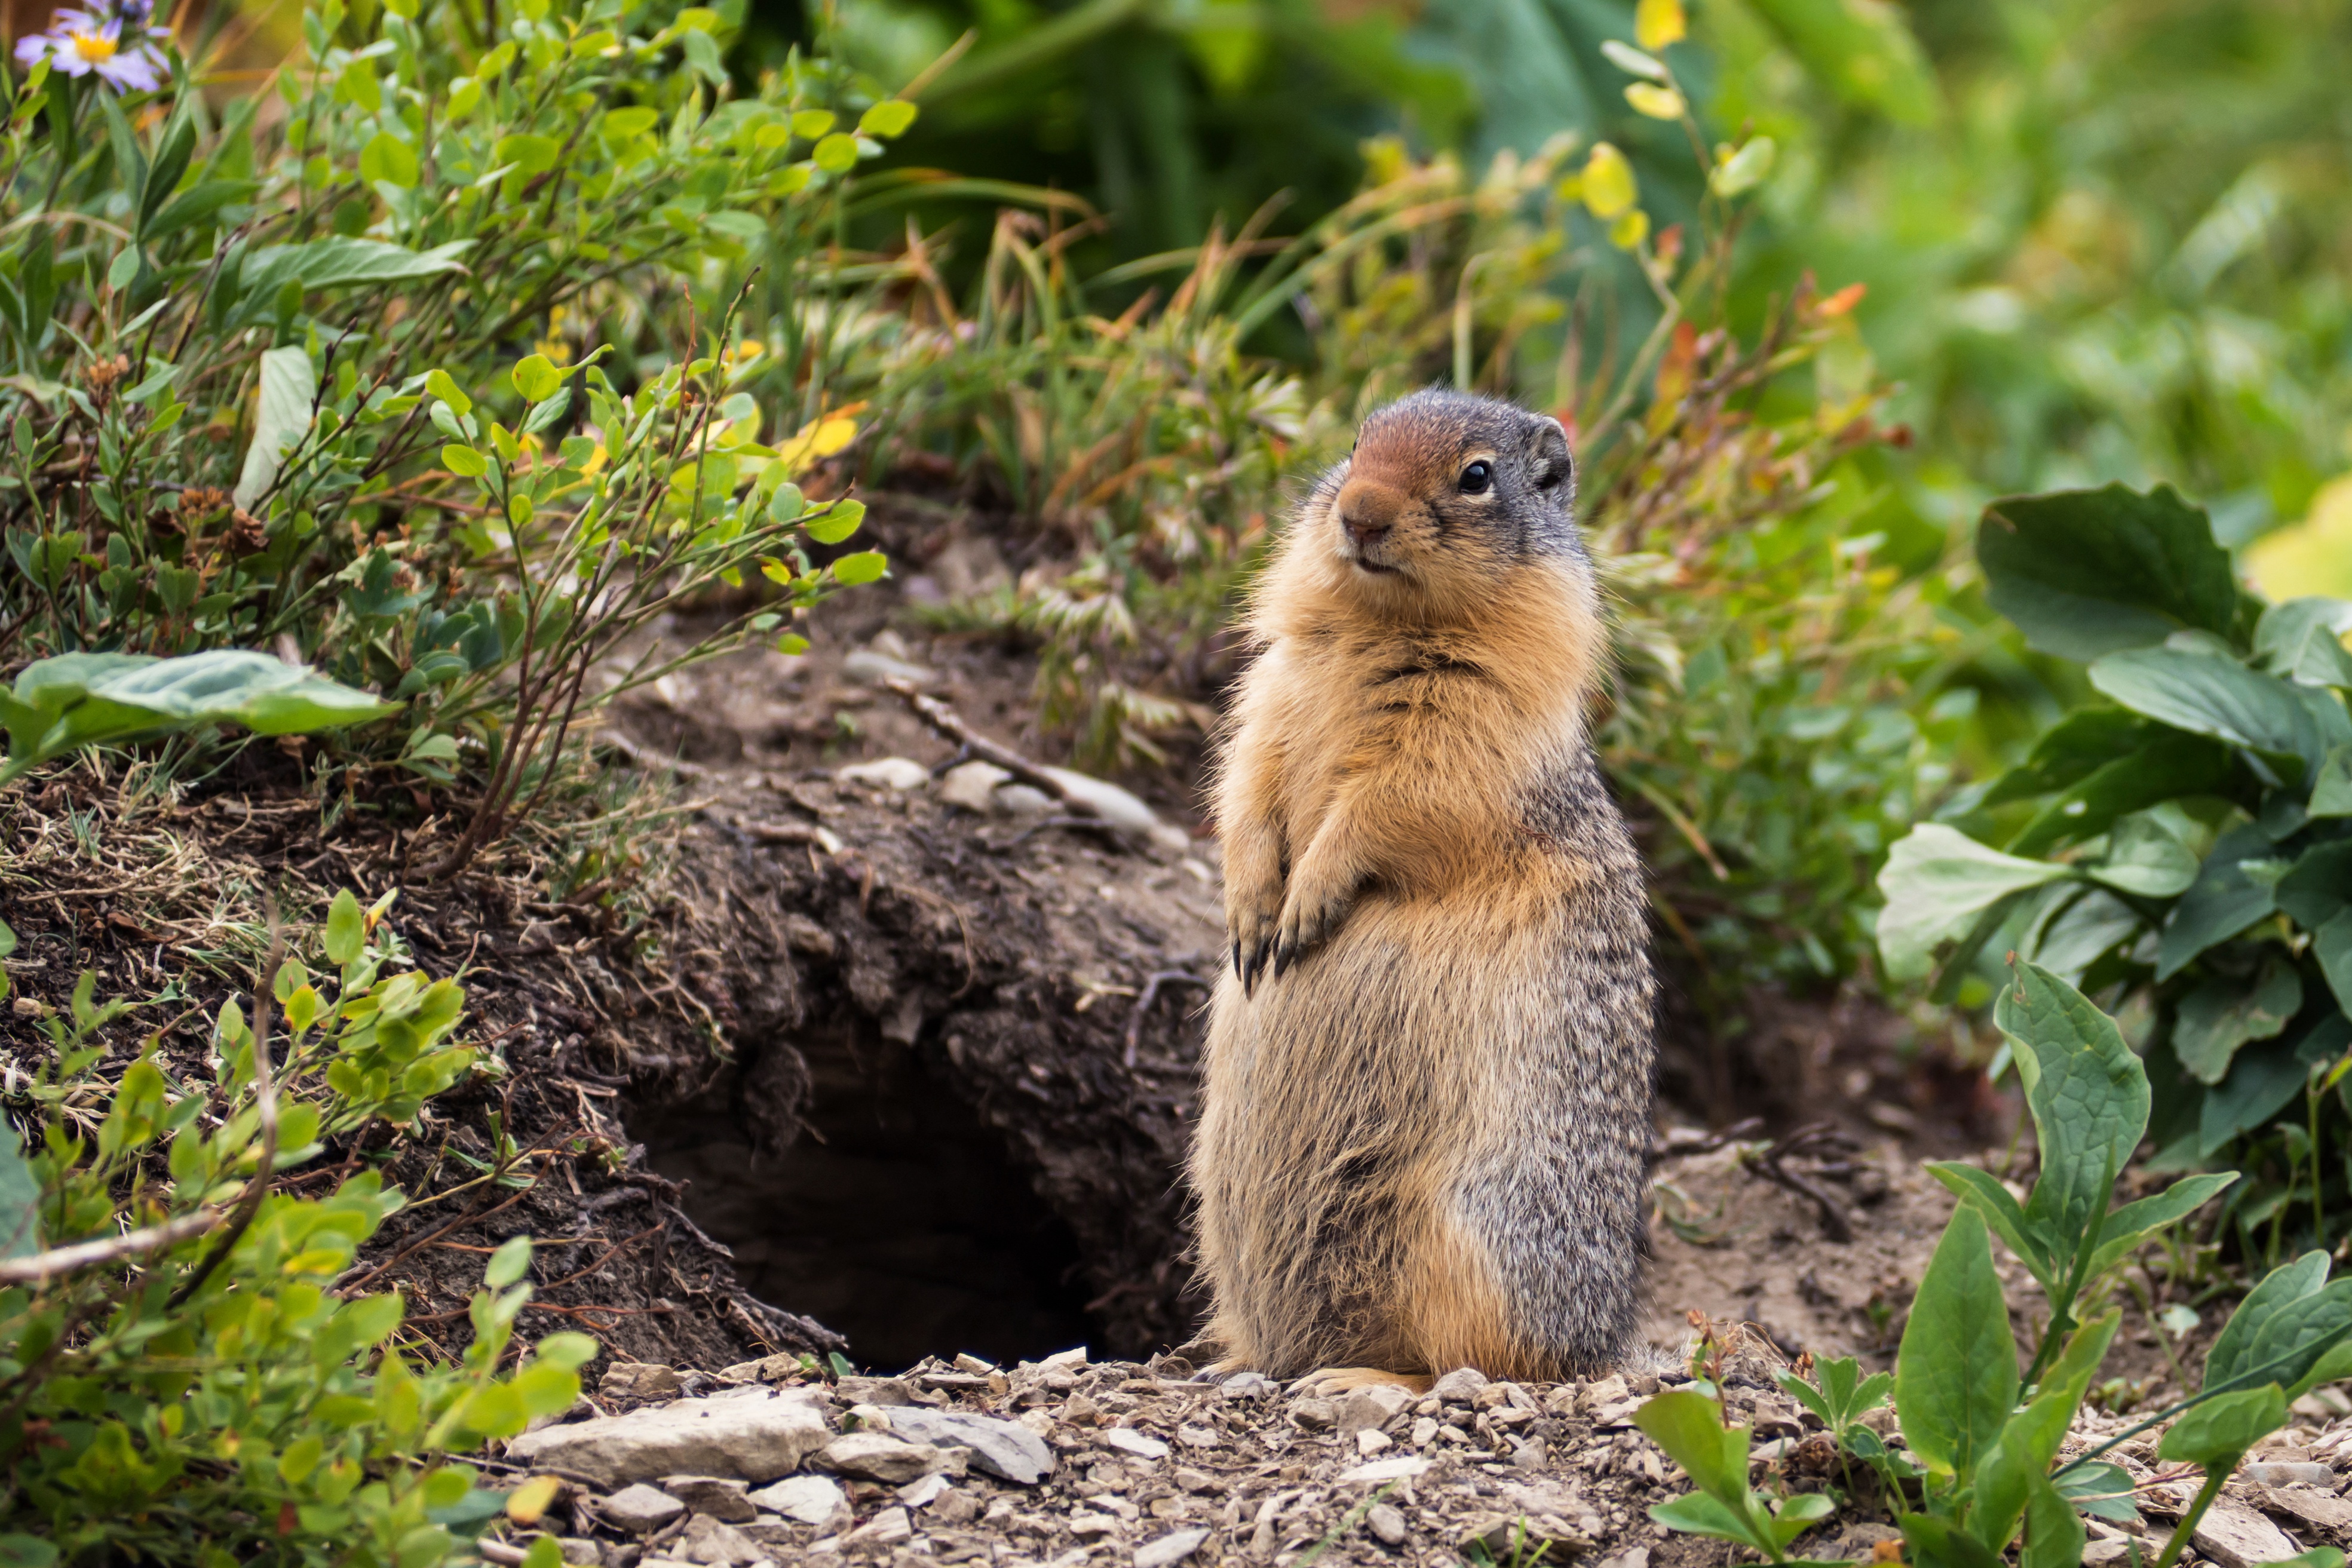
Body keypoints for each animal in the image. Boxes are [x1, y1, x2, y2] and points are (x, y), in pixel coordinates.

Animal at [1194, 390, 1655, 1382]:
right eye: (1357, 441)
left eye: (1476, 475)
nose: (1359, 513)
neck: (1382, 621)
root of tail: (1607, 1345)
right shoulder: (1270, 689)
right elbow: (1247, 778)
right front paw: (1251, 916)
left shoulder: (1474, 725)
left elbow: (1396, 798)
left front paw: (1306, 905)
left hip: (1470, 1239)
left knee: (1475, 1362)